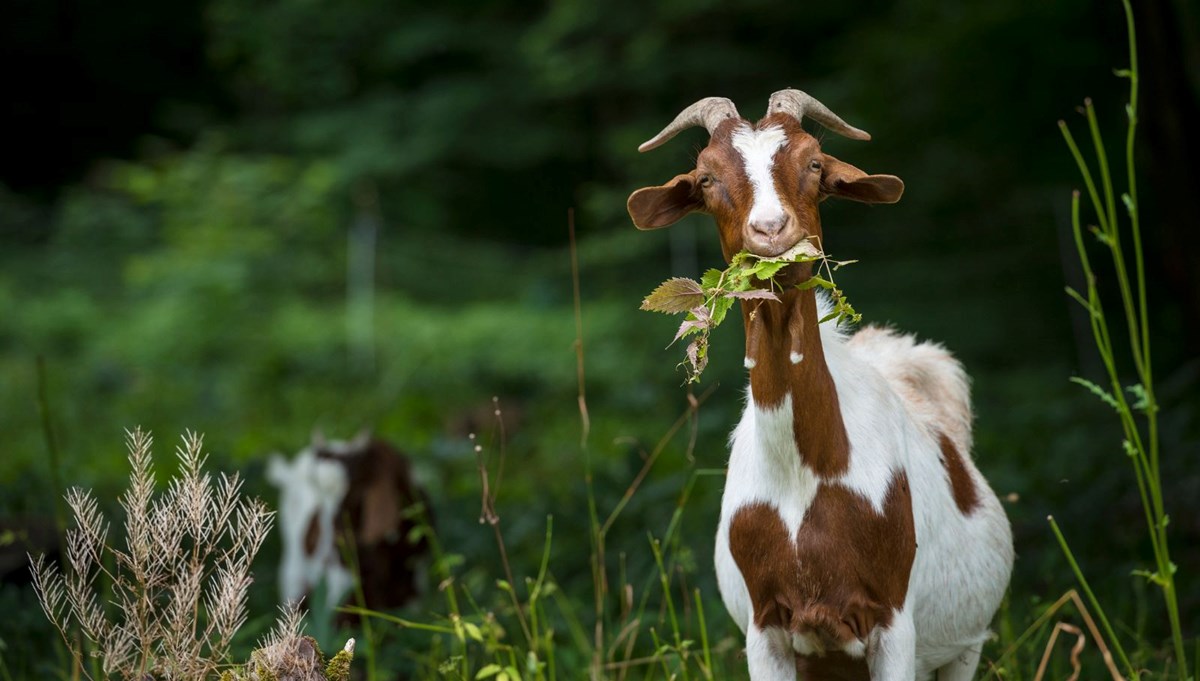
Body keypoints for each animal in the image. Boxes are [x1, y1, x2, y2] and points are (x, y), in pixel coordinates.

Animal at [268, 434, 432, 618]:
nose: (329, 554)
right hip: (294, 571)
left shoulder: (412, 590)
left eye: (357, 494)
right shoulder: (342, 587)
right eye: (321, 503)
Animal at [628, 90, 1012, 681]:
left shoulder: (893, 622)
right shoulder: (766, 628)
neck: (807, 474)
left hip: (962, 646)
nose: (771, 230)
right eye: (707, 177)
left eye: (813, 163)